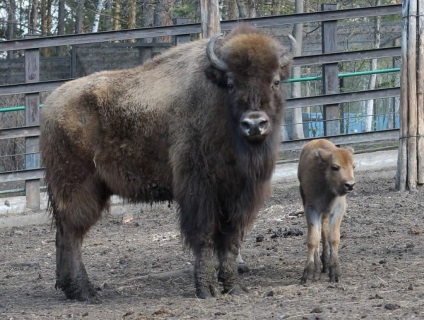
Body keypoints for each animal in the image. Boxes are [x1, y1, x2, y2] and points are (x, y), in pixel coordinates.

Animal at [39, 25, 292, 302]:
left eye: (275, 81)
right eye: (231, 83)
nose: (254, 124)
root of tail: (50, 106)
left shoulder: (240, 194)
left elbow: (231, 241)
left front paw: (233, 286)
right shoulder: (199, 190)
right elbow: (204, 237)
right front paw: (206, 290)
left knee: (63, 234)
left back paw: (72, 289)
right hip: (78, 188)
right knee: (72, 234)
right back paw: (84, 291)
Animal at [296, 139, 356, 284]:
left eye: (353, 166)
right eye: (335, 167)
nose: (350, 185)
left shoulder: (338, 209)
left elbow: (333, 237)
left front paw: (334, 272)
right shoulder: (312, 209)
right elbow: (313, 239)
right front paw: (307, 274)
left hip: (325, 214)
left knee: (324, 232)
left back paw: (325, 263)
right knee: (319, 234)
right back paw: (318, 268)